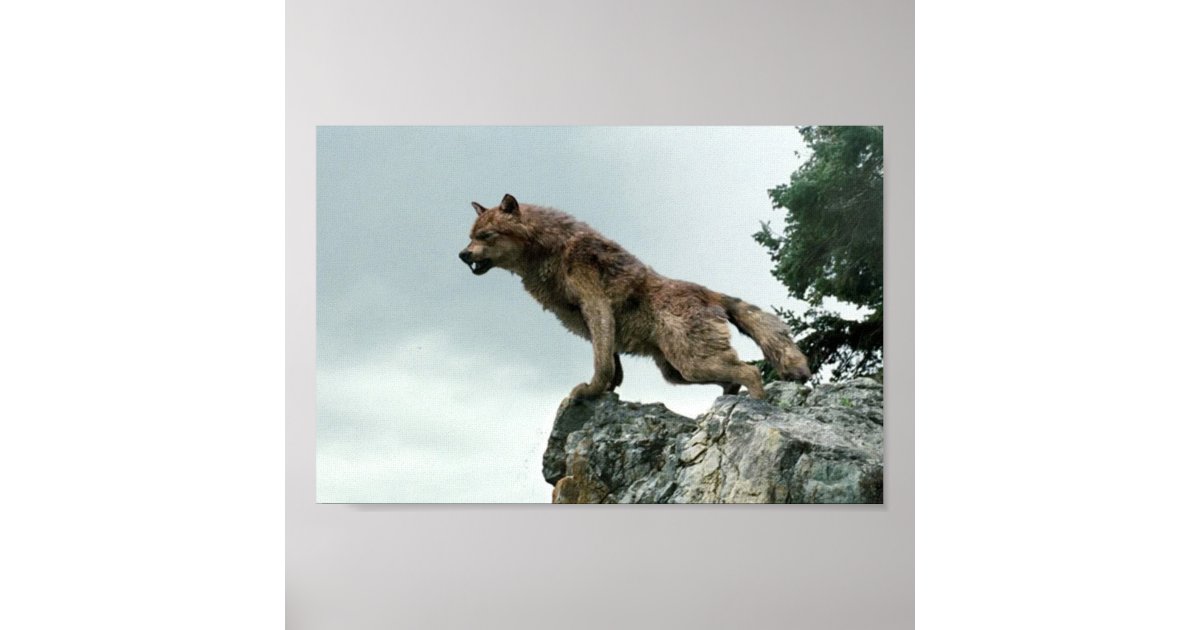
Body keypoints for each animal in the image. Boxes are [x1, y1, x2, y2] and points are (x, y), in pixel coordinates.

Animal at [459, 194, 812, 400]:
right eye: (470, 236)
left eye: (486, 236)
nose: (462, 255)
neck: (550, 249)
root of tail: (708, 292)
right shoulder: (595, 322)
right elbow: (611, 364)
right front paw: (605, 391)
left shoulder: (596, 305)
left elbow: (601, 363)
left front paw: (589, 391)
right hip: (675, 372)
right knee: (734, 378)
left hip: (691, 364)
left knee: (751, 372)